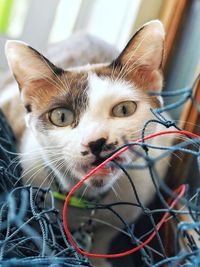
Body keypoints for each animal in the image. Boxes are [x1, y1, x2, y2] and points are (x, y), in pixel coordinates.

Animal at [1, 19, 173, 266]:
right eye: (61, 116)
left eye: (124, 109)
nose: (97, 142)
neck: (85, 200)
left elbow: (105, 234)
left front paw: (98, 258)